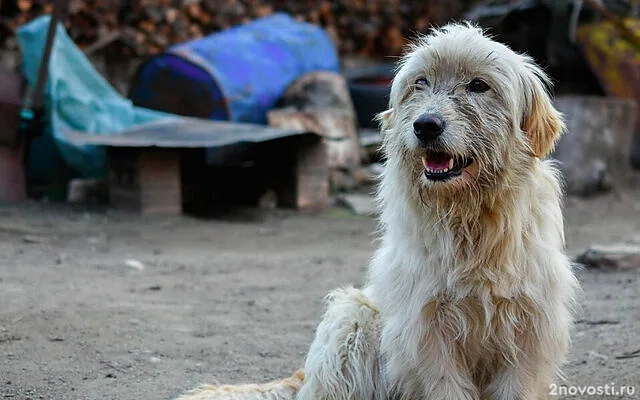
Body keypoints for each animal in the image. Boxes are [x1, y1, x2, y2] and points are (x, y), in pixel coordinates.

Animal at [176, 22, 580, 400]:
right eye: (421, 82)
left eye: (479, 85)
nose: (425, 125)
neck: (469, 219)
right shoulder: (427, 331)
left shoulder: (529, 330)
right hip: (353, 319)